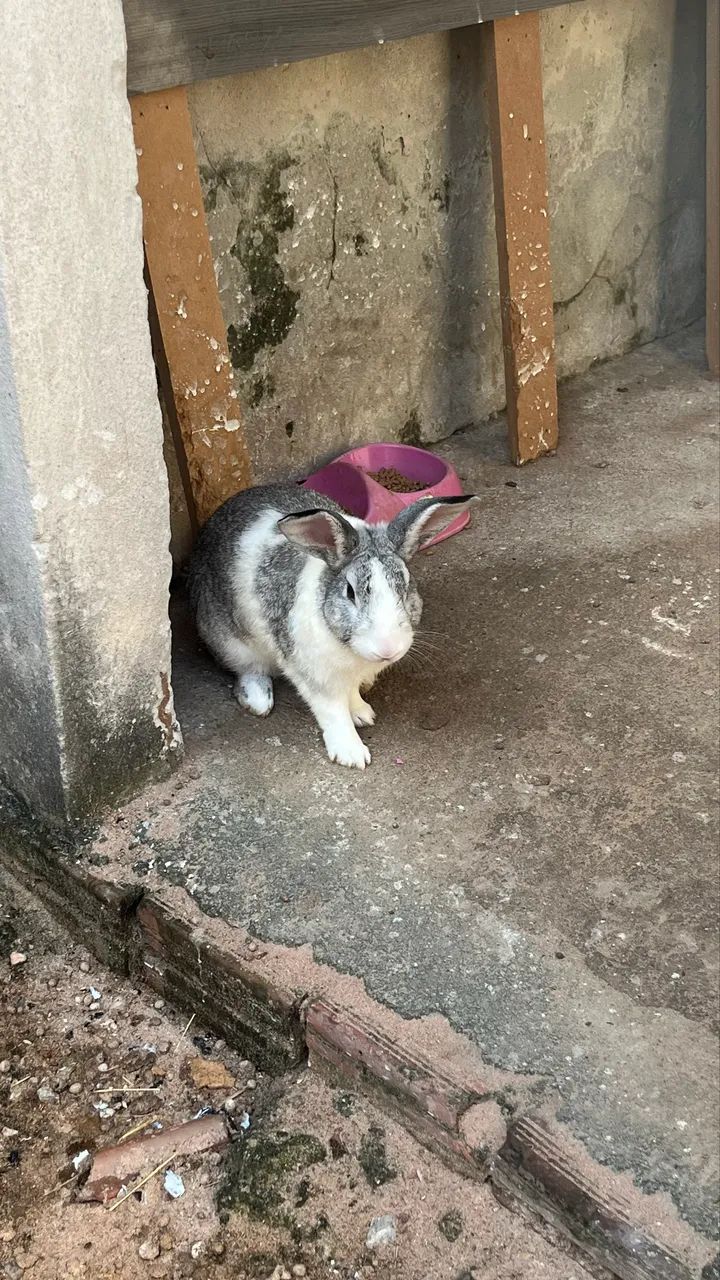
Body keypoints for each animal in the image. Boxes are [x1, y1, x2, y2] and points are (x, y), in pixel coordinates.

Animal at [187, 484, 476, 769]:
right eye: (350, 592)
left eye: (405, 586)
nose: (388, 648)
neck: (351, 653)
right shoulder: (315, 678)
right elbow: (333, 713)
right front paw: (352, 754)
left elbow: (352, 696)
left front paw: (362, 713)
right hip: (231, 643)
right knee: (248, 669)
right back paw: (258, 700)